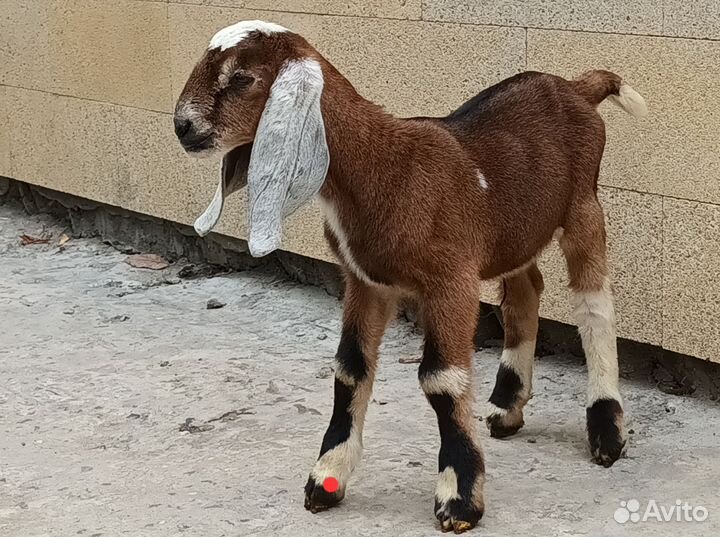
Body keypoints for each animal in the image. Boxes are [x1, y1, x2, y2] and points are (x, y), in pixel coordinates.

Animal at [174, 20, 647, 533]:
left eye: (241, 78)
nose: (182, 126)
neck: (386, 169)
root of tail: (576, 87)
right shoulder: (365, 282)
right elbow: (350, 368)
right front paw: (327, 478)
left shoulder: (451, 280)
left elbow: (441, 380)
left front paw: (459, 498)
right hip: (517, 231)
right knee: (526, 292)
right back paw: (507, 407)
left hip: (583, 206)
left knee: (593, 304)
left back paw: (606, 430)